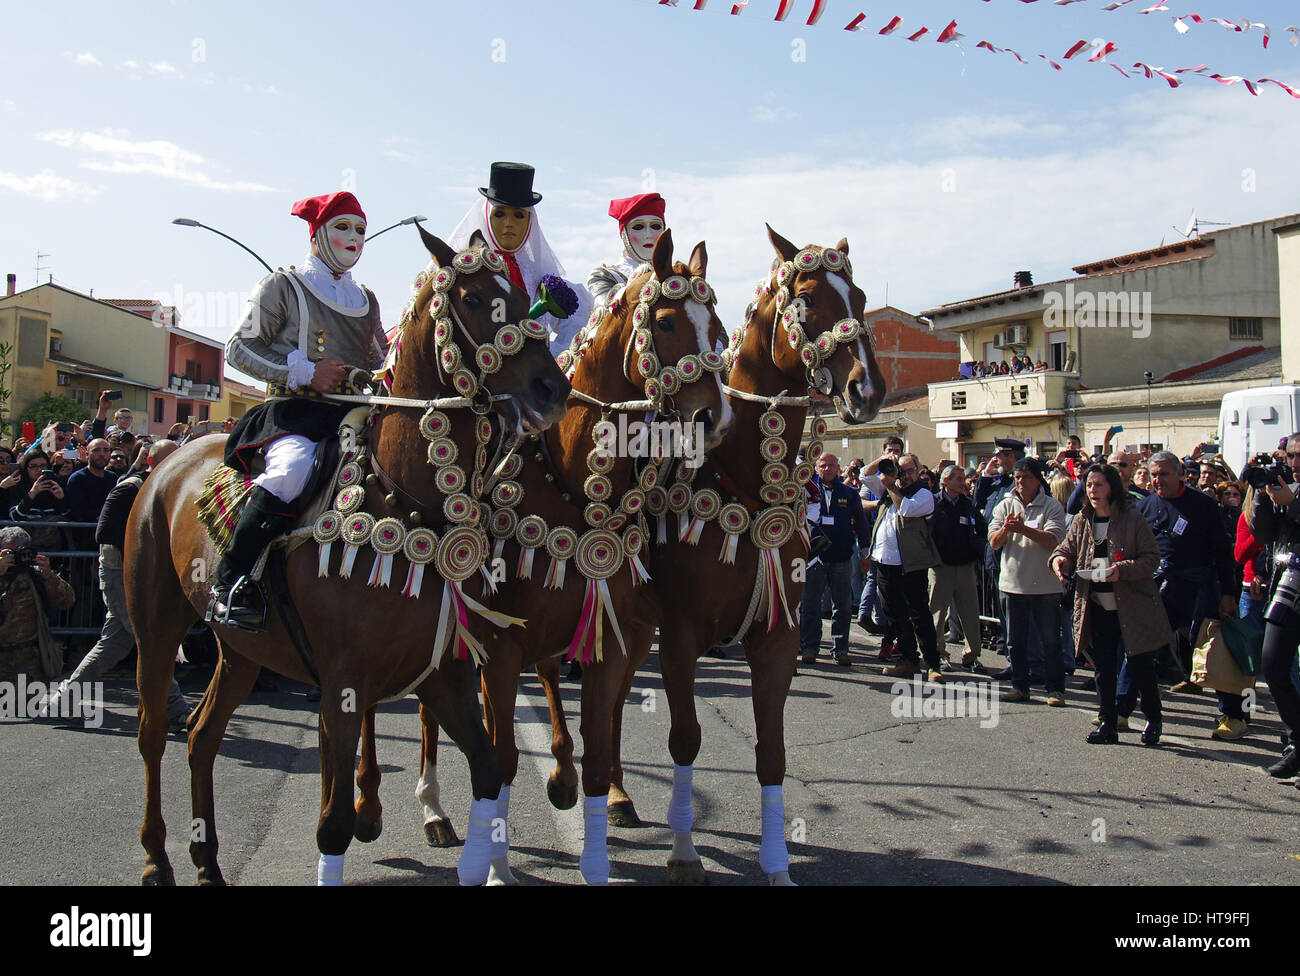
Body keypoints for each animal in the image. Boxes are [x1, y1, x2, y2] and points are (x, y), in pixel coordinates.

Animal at [130, 228, 569, 883]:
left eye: (522, 294)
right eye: (472, 299)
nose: (553, 389)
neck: (406, 499)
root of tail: (168, 463)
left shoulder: (444, 675)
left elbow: (490, 768)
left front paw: (482, 859)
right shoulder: (343, 684)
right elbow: (333, 822)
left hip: (239, 652)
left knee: (202, 735)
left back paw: (207, 860)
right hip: (156, 629)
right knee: (154, 733)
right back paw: (157, 859)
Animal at [535, 227, 883, 883]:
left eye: (861, 296)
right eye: (806, 298)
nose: (866, 390)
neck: (743, 479)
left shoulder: (777, 634)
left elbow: (772, 753)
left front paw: (777, 865)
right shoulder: (681, 634)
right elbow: (685, 738)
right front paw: (684, 852)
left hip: (632, 626)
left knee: (612, 705)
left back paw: (616, 795)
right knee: (549, 674)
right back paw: (566, 775)